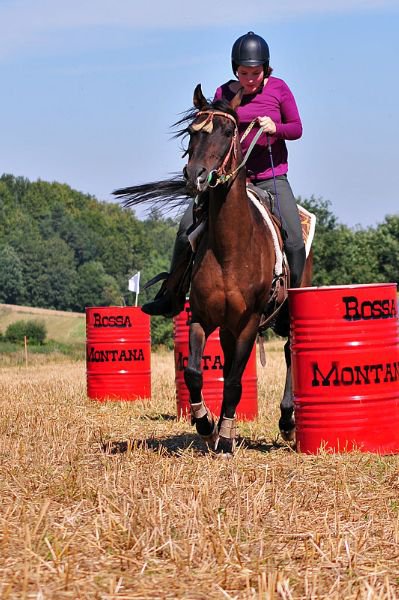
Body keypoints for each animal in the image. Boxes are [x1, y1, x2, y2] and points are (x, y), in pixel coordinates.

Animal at [114, 83, 314, 454]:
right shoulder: (203, 318)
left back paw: (287, 422)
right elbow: (195, 372)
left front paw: (226, 436)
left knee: (289, 350)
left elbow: (234, 381)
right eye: (192, 132)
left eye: (226, 131)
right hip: (227, 327)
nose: (195, 177)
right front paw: (207, 424)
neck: (231, 249)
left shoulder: (249, 323)